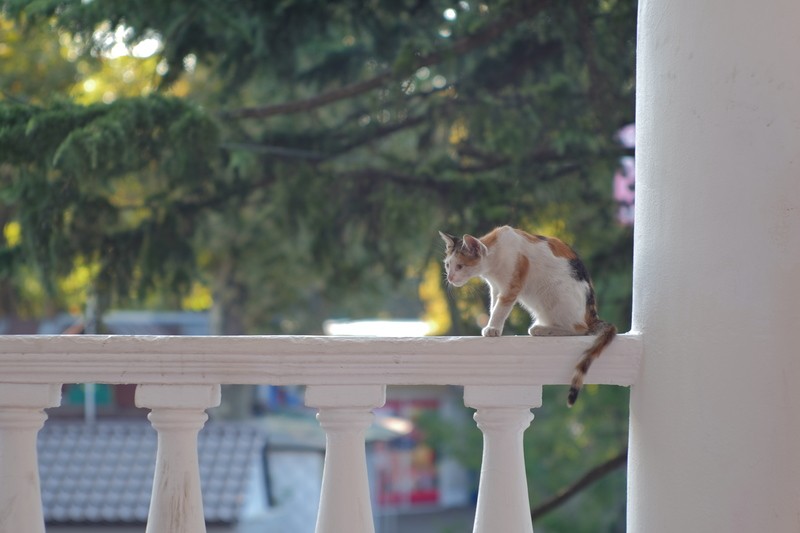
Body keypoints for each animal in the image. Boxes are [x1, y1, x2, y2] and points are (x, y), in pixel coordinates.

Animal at [438, 223, 620, 404]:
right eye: (447, 265)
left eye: (460, 266)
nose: (450, 278)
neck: (494, 257)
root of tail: (592, 316)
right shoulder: (495, 288)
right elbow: (494, 306)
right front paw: (492, 325)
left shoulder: (511, 286)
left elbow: (500, 309)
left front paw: (493, 329)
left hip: (556, 293)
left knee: (580, 329)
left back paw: (542, 329)